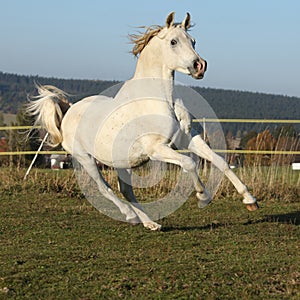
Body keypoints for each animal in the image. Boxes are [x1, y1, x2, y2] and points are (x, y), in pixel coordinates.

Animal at [27, 12, 258, 231]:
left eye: (193, 41)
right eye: (173, 41)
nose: (199, 66)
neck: (158, 98)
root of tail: (69, 110)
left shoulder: (186, 139)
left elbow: (220, 161)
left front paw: (250, 200)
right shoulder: (156, 149)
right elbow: (189, 163)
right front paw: (203, 196)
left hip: (122, 162)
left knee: (126, 190)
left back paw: (148, 223)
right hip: (85, 159)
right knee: (105, 188)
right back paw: (131, 216)